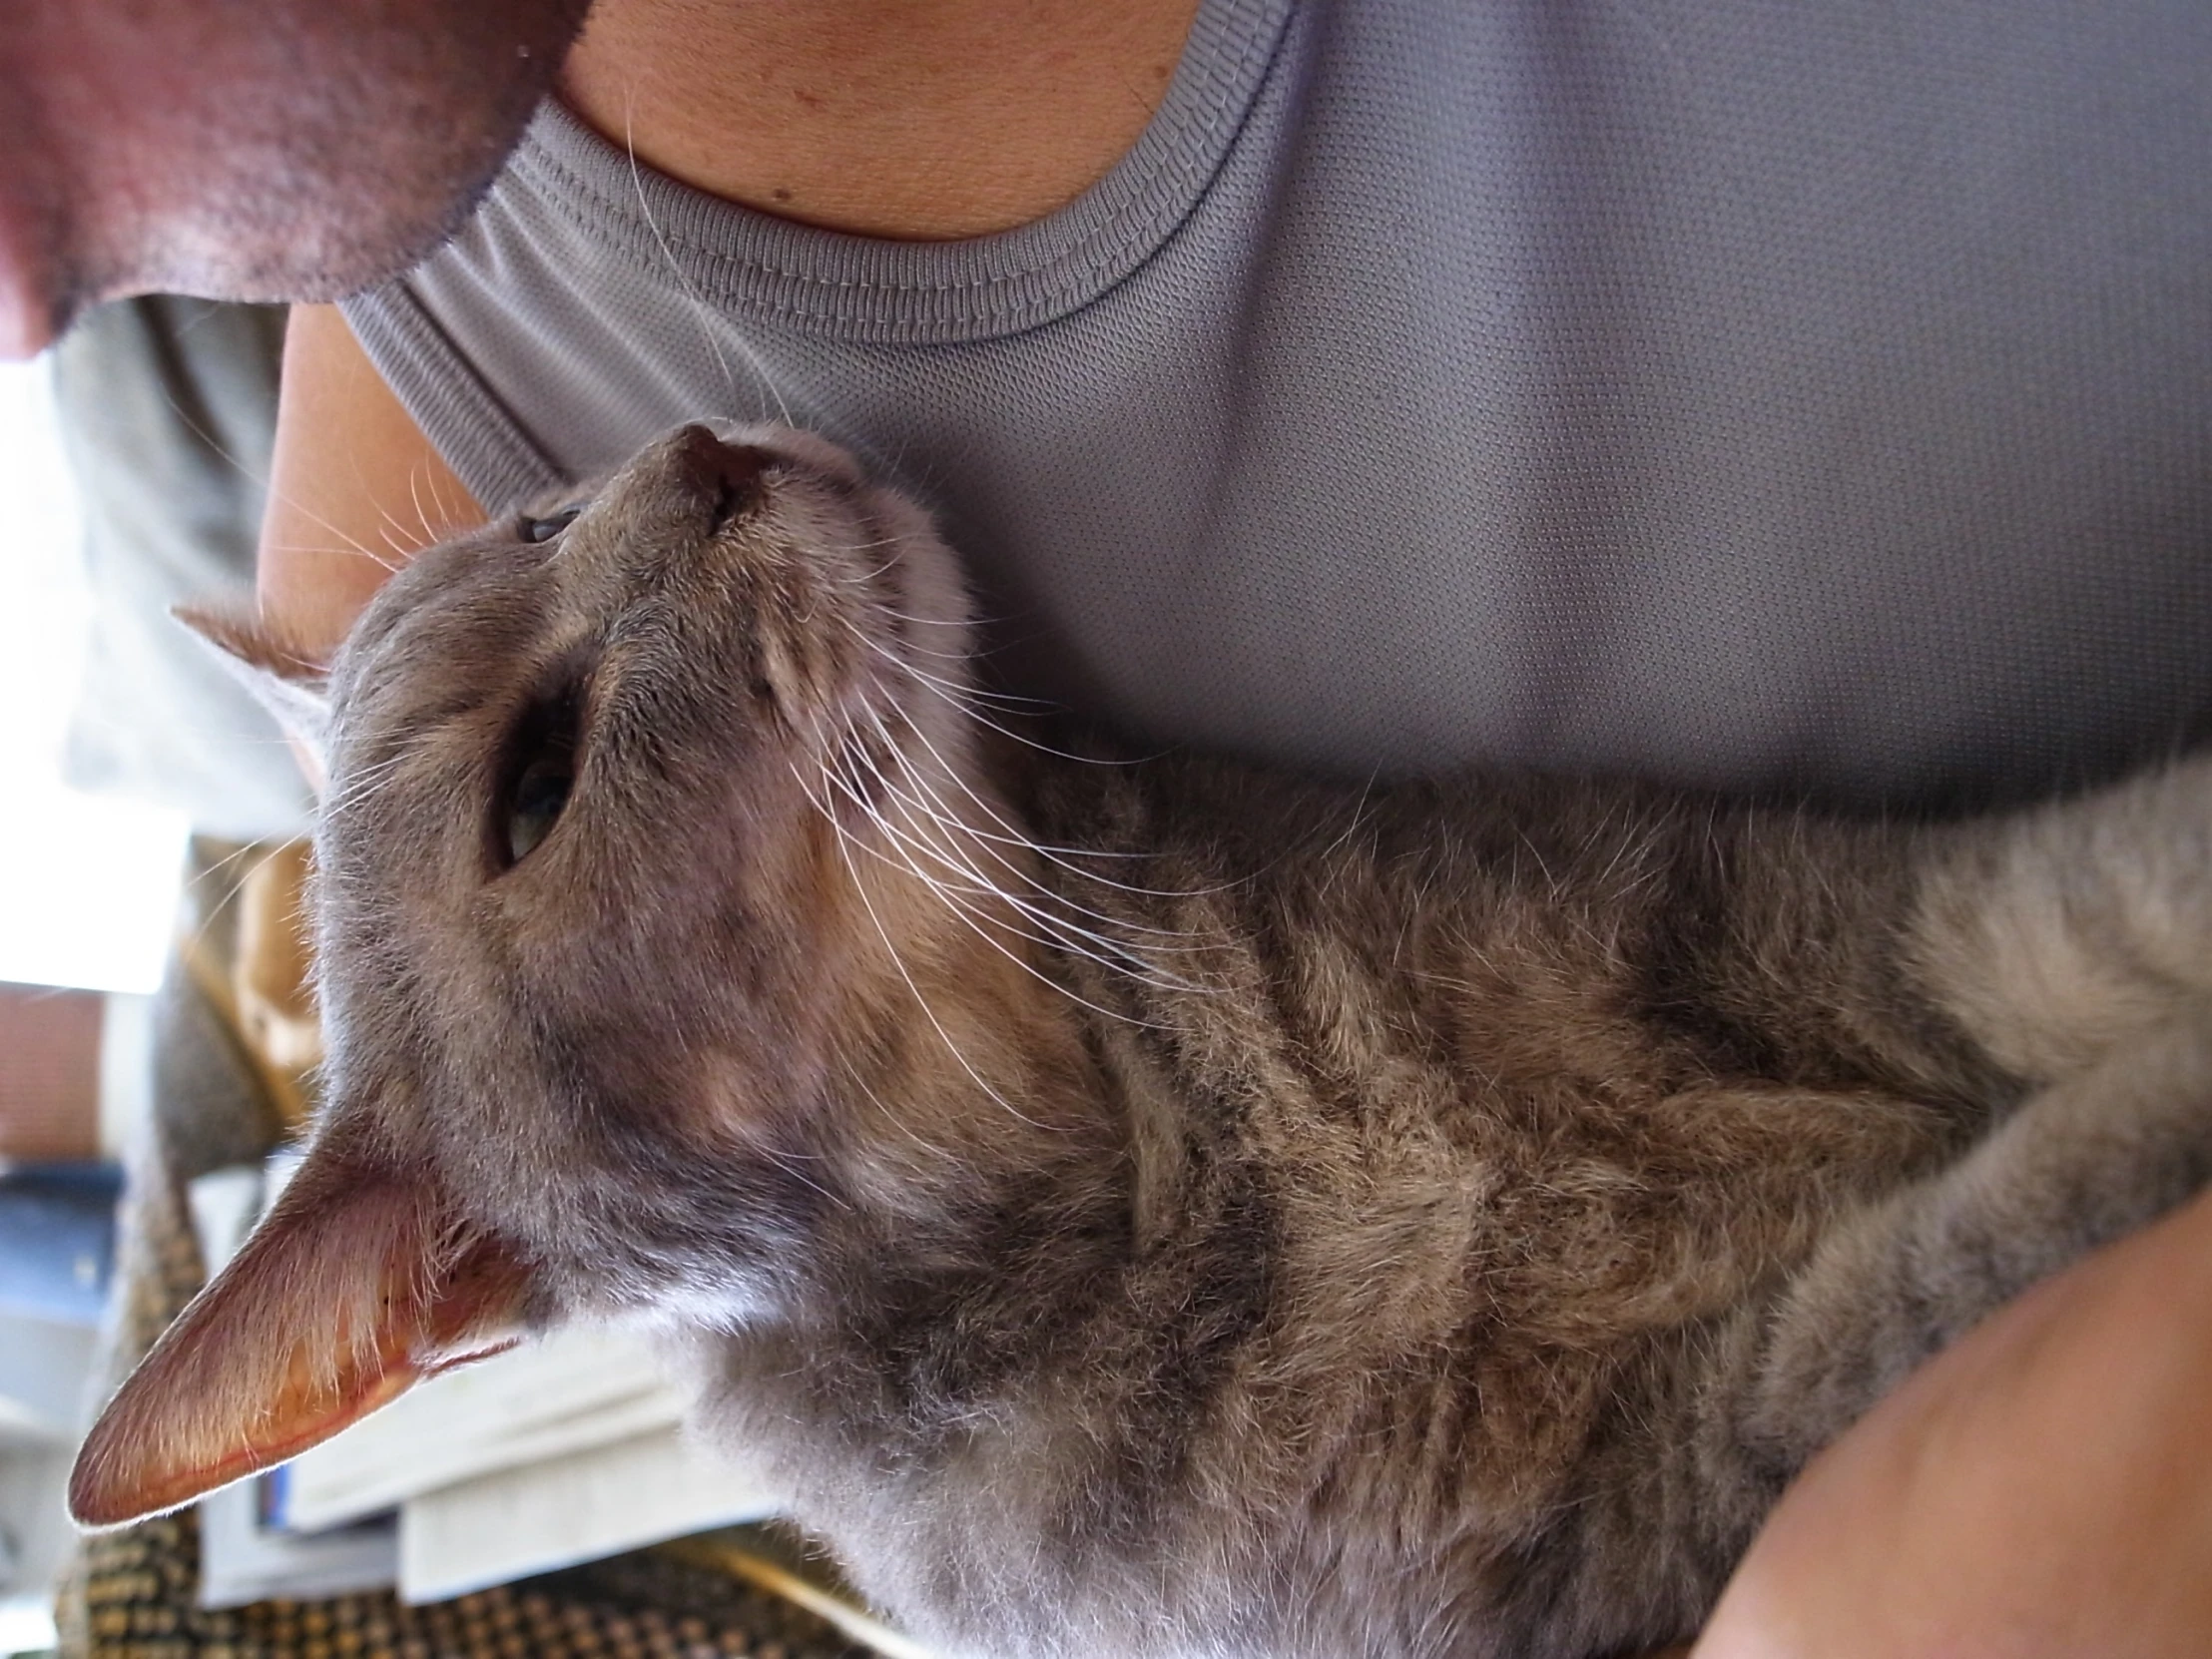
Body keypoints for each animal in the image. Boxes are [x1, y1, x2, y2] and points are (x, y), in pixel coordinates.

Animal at [69, 424, 2212, 1659]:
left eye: (542, 507)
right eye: (534, 786)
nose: (699, 443)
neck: (1192, 1112)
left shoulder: (1783, 905)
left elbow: (2077, 900)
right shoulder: (1657, 1500)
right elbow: (1961, 1251)